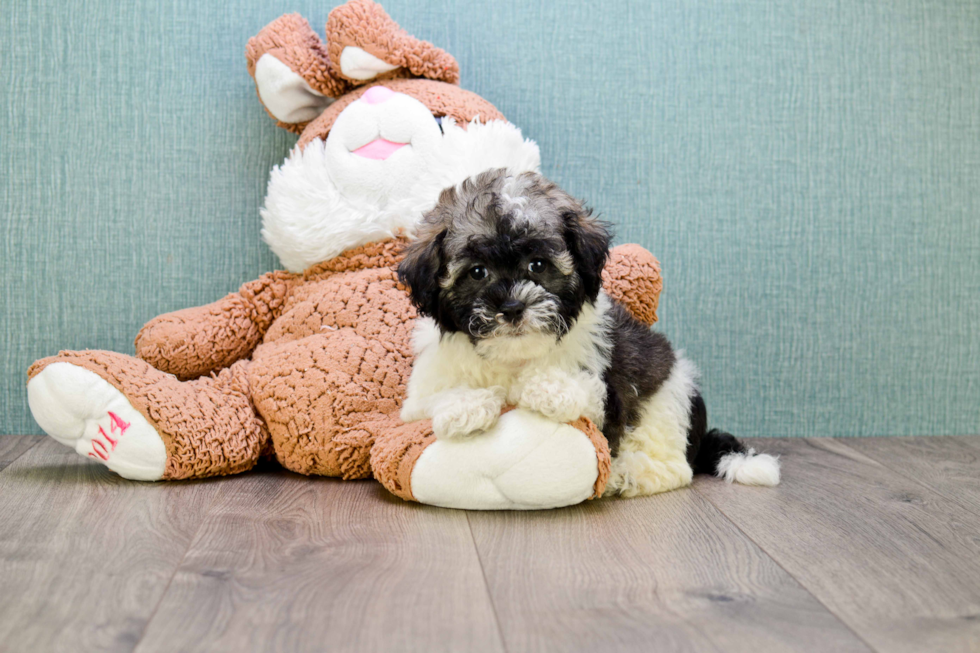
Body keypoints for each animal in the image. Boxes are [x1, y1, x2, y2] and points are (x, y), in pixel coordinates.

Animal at [394, 168, 776, 494]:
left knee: (673, 465)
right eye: (477, 272)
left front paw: (543, 387)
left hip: (668, 399)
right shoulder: (419, 395)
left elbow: (587, 393)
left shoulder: (606, 393)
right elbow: (430, 401)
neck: (513, 357)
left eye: (538, 265)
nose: (513, 307)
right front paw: (467, 406)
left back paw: (625, 475)